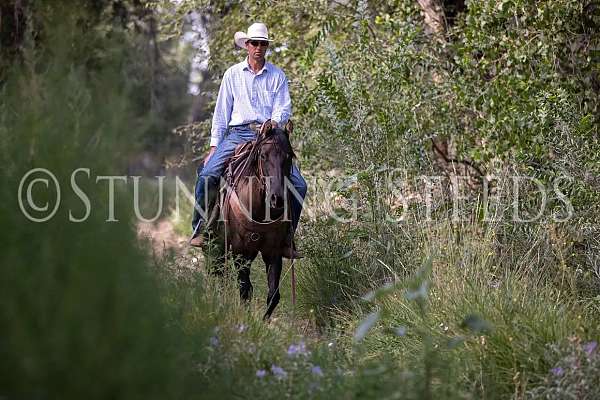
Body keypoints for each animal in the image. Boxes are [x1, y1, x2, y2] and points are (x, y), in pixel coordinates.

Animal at [205, 120, 296, 320]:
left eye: (289, 156)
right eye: (263, 155)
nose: (277, 199)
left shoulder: (273, 250)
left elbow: (273, 294)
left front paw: (263, 321)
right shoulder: (240, 250)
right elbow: (245, 289)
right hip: (217, 245)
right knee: (218, 272)